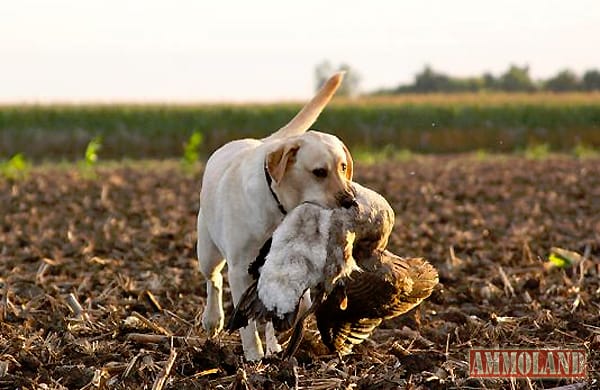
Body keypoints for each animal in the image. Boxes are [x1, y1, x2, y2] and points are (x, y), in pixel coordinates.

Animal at [197, 72, 356, 360]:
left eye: (343, 167)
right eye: (319, 172)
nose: (350, 201)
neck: (278, 209)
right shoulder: (239, 269)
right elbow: (246, 322)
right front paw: (253, 355)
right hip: (207, 250)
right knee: (213, 280)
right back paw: (213, 319)